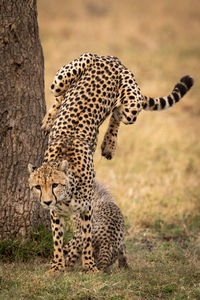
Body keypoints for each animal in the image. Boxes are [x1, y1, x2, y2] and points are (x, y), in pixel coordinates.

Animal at [28, 52, 193, 274]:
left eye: (55, 184)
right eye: (38, 186)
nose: (46, 202)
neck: (66, 194)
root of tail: (108, 57)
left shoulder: (87, 210)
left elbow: (86, 239)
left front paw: (89, 266)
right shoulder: (56, 214)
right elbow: (57, 241)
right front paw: (56, 267)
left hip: (131, 105)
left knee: (117, 113)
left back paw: (108, 144)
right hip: (62, 80)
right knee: (62, 96)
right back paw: (48, 120)